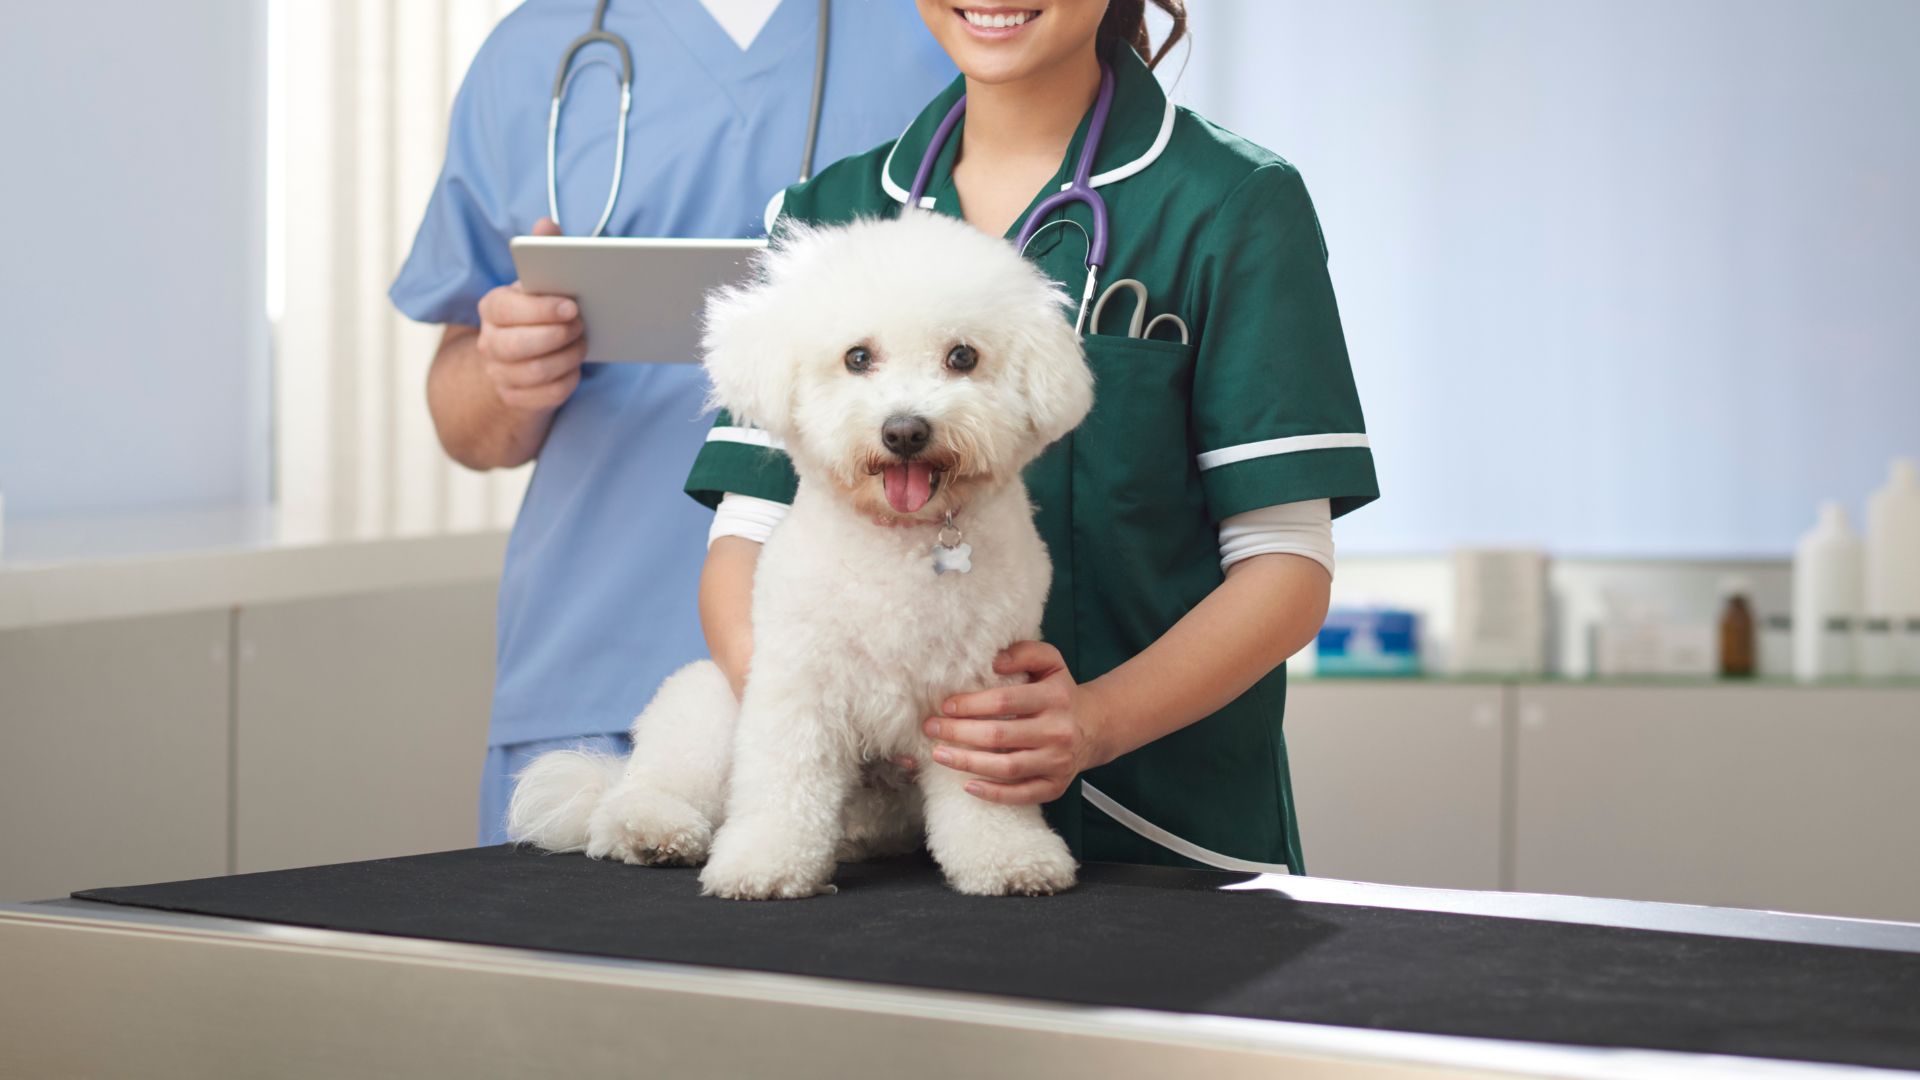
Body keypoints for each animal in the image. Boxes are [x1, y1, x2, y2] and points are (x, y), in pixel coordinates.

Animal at [510, 212, 1098, 899]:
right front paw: (765, 863)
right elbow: (784, 783)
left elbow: (985, 794)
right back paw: (651, 830)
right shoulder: (799, 686)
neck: (900, 544)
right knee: (642, 793)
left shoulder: (984, 695)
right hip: (708, 712)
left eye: (962, 356)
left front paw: (1009, 858)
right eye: (857, 357)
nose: (905, 430)